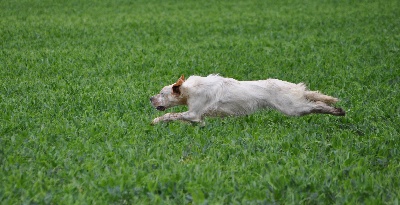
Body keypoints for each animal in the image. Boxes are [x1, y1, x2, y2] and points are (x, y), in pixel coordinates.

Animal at [150, 74, 344, 124]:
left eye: (162, 93)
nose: (150, 98)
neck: (190, 90)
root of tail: (292, 86)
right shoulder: (196, 117)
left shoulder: (194, 113)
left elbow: (170, 115)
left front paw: (155, 121)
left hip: (292, 107)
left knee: (317, 105)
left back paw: (337, 111)